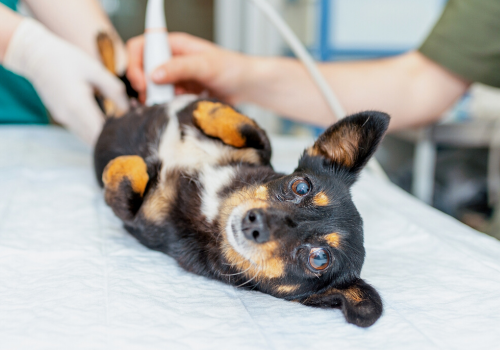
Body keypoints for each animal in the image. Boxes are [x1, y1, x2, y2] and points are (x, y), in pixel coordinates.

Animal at [94, 91, 390, 326]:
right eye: (301, 187)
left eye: (319, 259)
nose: (254, 222)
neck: (218, 204)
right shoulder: (257, 150)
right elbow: (255, 133)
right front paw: (206, 108)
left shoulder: (140, 220)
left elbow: (125, 180)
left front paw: (119, 165)